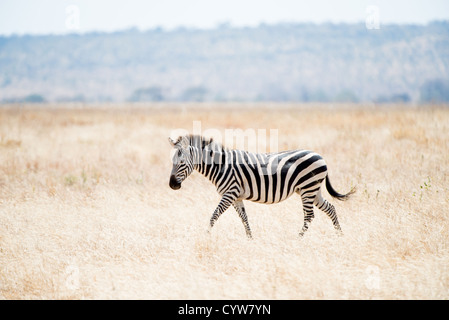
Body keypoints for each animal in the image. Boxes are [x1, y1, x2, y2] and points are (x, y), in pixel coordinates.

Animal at [168, 133, 354, 238]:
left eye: (181, 163)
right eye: (172, 162)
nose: (172, 185)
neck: (221, 166)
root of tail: (319, 155)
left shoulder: (230, 192)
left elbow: (214, 215)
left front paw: (205, 235)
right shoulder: (236, 196)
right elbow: (244, 218)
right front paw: (250, 238)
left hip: (308, 188)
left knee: (309, 216)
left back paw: (299, 238)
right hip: (312, 189)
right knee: (330, 208)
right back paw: (340, 234)